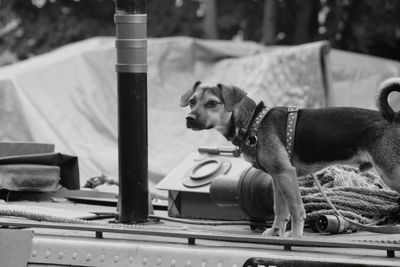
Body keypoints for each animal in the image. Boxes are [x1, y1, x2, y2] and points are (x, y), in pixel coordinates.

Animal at [180, 79, 400, 239]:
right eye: (192, 102)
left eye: (212, 104)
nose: (189, 119)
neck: (253, 121)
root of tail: (395, 119)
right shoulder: (277, 177)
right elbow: (280, 209)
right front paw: (276, 231)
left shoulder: (286, 173)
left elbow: (295, 208)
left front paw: (295, 235)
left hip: (391, 174)